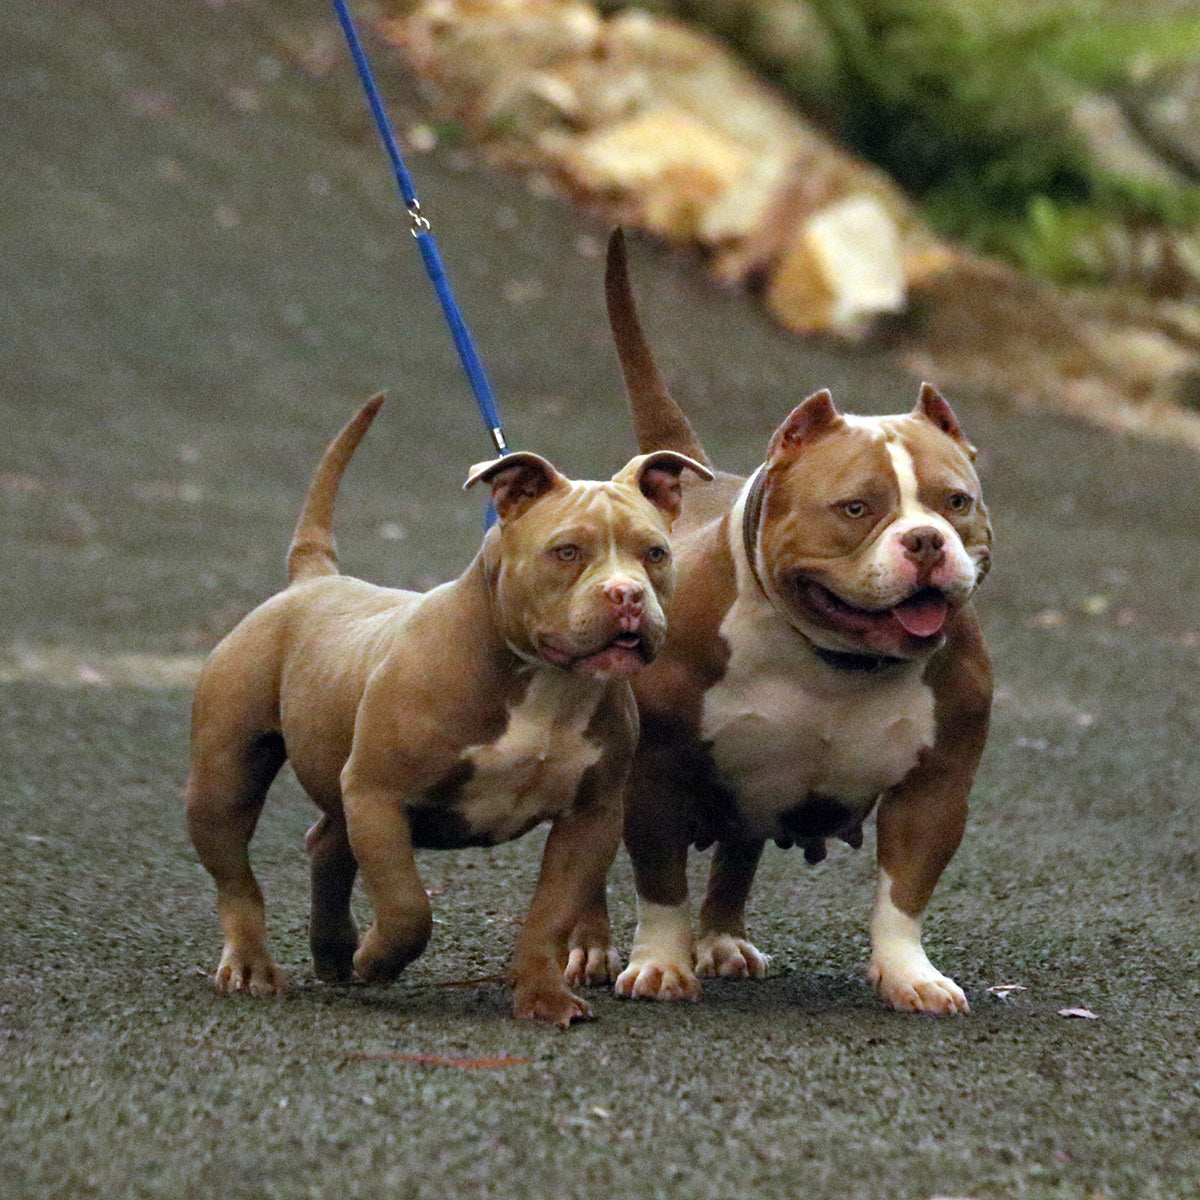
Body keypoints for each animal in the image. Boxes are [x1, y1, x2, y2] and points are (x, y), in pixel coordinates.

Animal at [184, 396, 710, 1022]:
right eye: (566, 552)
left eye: (655, 553)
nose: (627, 594)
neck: (544, 682)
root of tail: (312, 581)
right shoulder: (378, 794)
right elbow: (408, 905)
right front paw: (377, 959)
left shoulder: (591, 817)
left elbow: (550, 916)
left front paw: (545, 998)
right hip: (226, 780)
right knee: (236, 875)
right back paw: (252, 966)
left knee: (327, 844)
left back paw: (333, 950)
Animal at [571, 234, 993, 1012]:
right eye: (856, 508)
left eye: (956, 502)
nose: (925, 540)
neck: (832, 658)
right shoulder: (654, 773)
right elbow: (660, 883)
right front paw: (660, 963)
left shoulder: (936, 786)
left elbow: (904, 893)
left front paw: (909, 974)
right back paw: (584, 946)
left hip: (755, 791)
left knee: (739, 851)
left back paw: (723, 940)